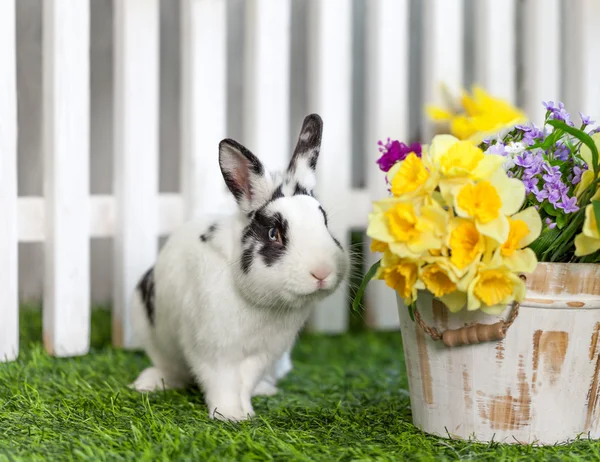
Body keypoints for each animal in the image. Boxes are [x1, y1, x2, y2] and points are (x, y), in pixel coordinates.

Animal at [129, 113, 350, 420]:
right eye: (274, 234)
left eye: (325, 222)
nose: (322, 272)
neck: (265, 306)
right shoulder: (213, 350)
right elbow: (221, 382)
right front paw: (229, 416)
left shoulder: (263, 353)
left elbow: (245, 382)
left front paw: (244, 413)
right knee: (170, 368)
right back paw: (148, 383)